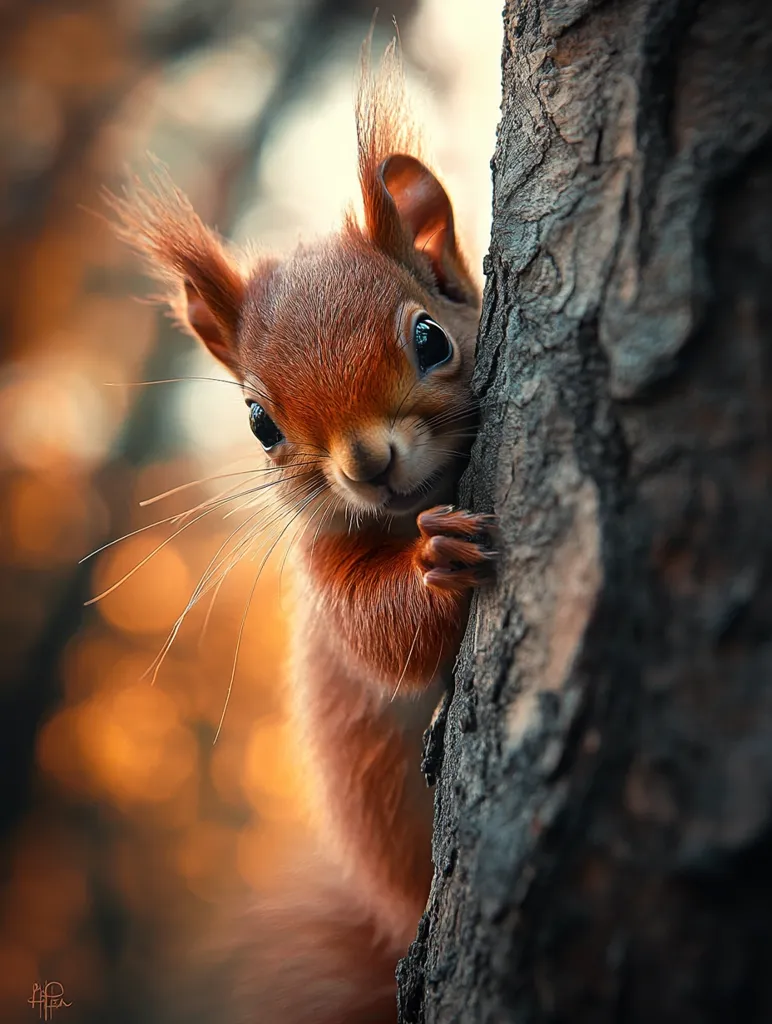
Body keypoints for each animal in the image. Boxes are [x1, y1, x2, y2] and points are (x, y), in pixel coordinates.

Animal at [110, 40, 495, 1024]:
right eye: (259, 423)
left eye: (432, 339)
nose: (367, 463)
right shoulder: (322, 568)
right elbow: (378, 634)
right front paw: (435, 564)